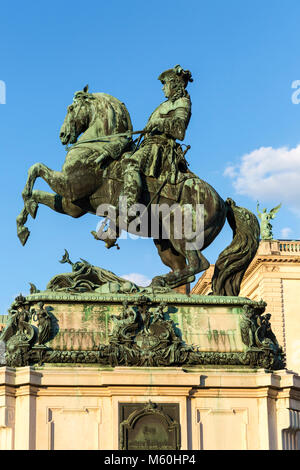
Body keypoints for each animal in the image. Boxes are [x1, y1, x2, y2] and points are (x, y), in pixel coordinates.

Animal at [17, 84, 258, 290]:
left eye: (70, 108)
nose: (63, 135)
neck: (97, 147)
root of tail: (223, 202)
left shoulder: (69, 186)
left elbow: (35, 168)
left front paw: (26, 206)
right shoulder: (71, 205)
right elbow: (39, 192)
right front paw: (24, 221)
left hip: (179, 232)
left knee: (199, 264)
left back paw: (154, 283)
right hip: (165, 243)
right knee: (185, 270)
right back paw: (155, 285)